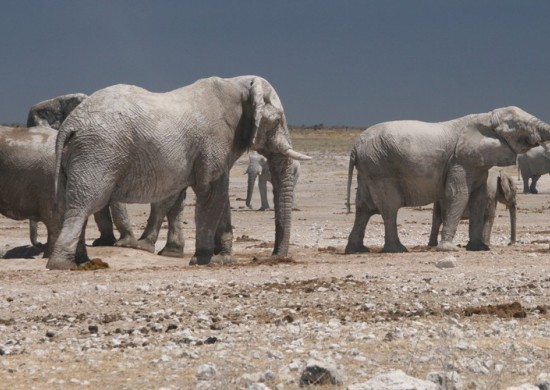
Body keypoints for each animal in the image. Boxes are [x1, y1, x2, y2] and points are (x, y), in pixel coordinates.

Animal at [47, 74, 312, 270]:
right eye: (277, 121)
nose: (273, 258)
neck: (237, 84)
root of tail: (70, 125)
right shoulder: (214, 142)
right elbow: (211, 192)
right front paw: (203, 260)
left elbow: (221, 196)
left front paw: (224, 260)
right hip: (98, 153)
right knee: (83, 205)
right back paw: (62, 265)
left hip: (80, 156)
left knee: (71, 205)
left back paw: (83, 261)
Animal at [348, 106, 550, 253]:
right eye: (520, 126)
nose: (510, 244)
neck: (487, 117)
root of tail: (355, 147)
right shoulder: (459, 160)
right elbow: (458, 194)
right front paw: (448, 249)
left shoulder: (476, 163)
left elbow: (478, 199)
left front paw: (478, 248)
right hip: (380, 167)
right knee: (389, 207)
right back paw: (397, 250)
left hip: (368, 169)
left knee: (364, 208)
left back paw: (357, 250)